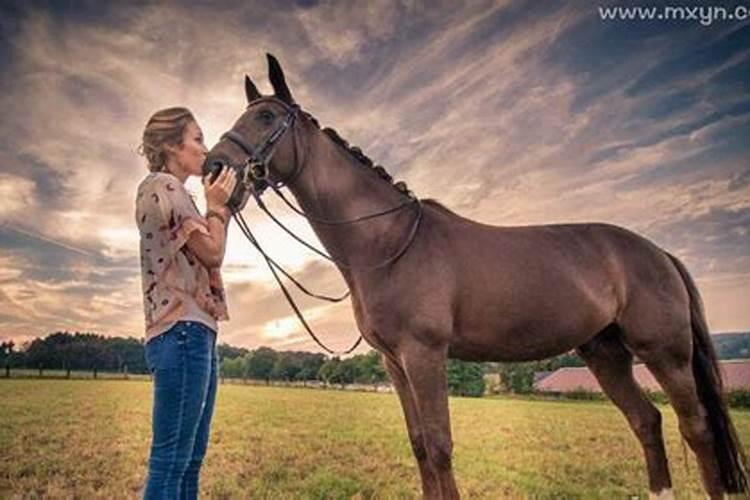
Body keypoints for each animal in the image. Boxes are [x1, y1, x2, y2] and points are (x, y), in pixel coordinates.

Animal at [207, 52, 750, 498]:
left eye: (266, 116)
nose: (214, 166)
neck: (389, 242)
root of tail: (659, 253)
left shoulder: (425, 354)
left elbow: (440, 445)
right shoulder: (395, 362)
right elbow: (420, 444)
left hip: (665, 353)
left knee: (696, 429)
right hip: (607, 355)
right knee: (647, 421)